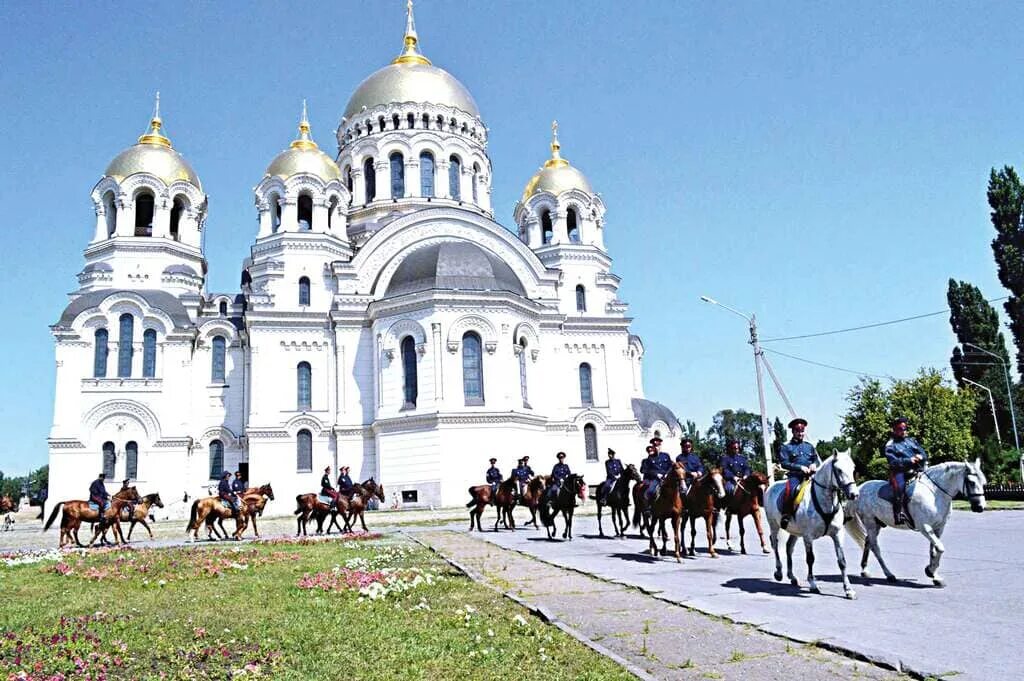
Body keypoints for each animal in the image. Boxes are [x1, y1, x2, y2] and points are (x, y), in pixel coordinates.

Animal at [765, 448, 860, 598]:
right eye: (838, 470)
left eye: (853, 468)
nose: (854, 495)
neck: (825, 502)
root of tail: (771, 486)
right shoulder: (808, 537)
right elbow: (810, 559)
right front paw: (813, 584)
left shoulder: (837, 534)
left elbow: (842, 561)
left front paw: (848, 590)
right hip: (774, 525)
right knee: (775, 544)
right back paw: (779, 572)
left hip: (795, 531)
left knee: (788, 548)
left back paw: (792, 577)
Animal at [843, 458, 987, 585]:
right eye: (971, 482)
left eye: (983, 482)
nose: (980, 507)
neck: (934, 493)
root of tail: (861, 488)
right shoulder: (925, 527)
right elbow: (940, 548)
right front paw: (930, 571)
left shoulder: (938, 528)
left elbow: (934, 550)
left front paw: (934, 575)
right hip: (871, 523)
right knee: (875, 547)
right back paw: (889, 574)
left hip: (876, 524)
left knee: (867, 542)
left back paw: (865, 570)